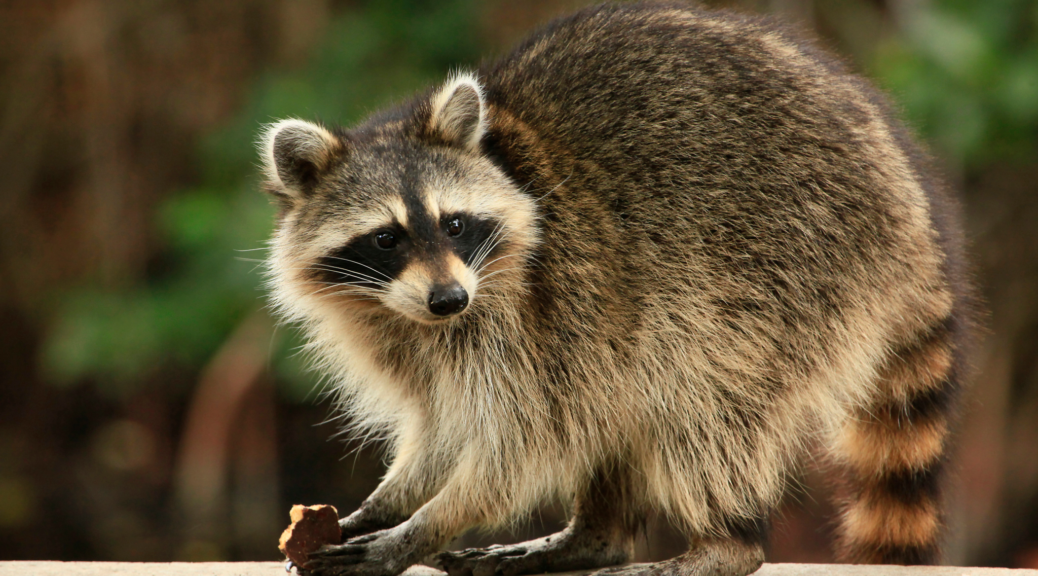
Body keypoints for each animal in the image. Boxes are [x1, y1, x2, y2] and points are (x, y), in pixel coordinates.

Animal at [259, 4, 971, 576]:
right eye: (386, 239)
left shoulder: (535, 305)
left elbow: (519, 442)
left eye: (454, 223)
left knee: (704, 393)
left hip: (792, 261)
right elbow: (444, 425)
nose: (449, 300)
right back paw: (594, 537)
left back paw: (724, 544)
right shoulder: (413, 333)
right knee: (623, 398)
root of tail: (910, 202)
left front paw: (420, 527)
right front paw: (391, 501)